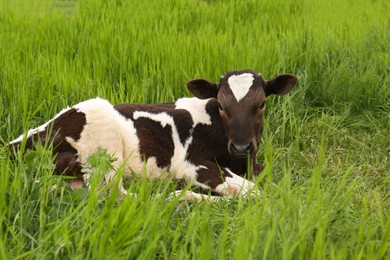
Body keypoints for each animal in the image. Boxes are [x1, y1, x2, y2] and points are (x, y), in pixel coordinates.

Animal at [9, 70, 298, 198]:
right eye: (222, 105)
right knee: (122, 197)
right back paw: (182, 196)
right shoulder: (192, 164)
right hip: (102, 154)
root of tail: (17, 143)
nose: (240, 146)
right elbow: (255, 192)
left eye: (261, 104)